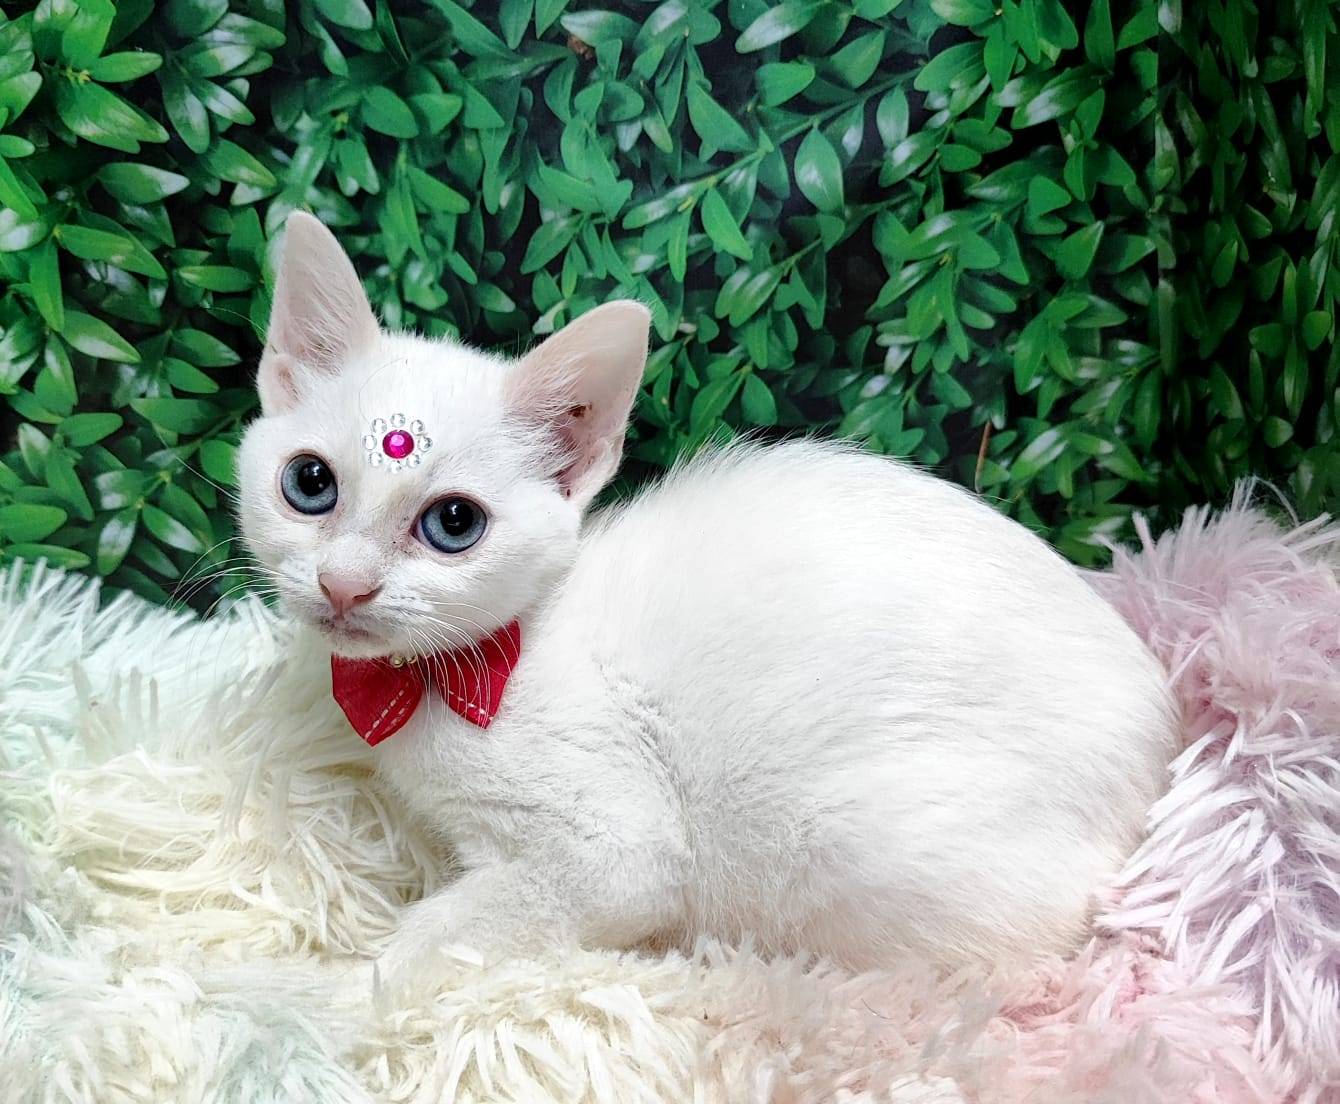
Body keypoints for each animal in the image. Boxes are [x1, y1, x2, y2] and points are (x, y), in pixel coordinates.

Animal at [238, 212, 1179, 992]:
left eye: (454, 524)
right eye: (310, 483)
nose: (344, 583)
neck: (461, 670)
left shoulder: (615, 852)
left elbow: (462, 927)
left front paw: (337, 991)